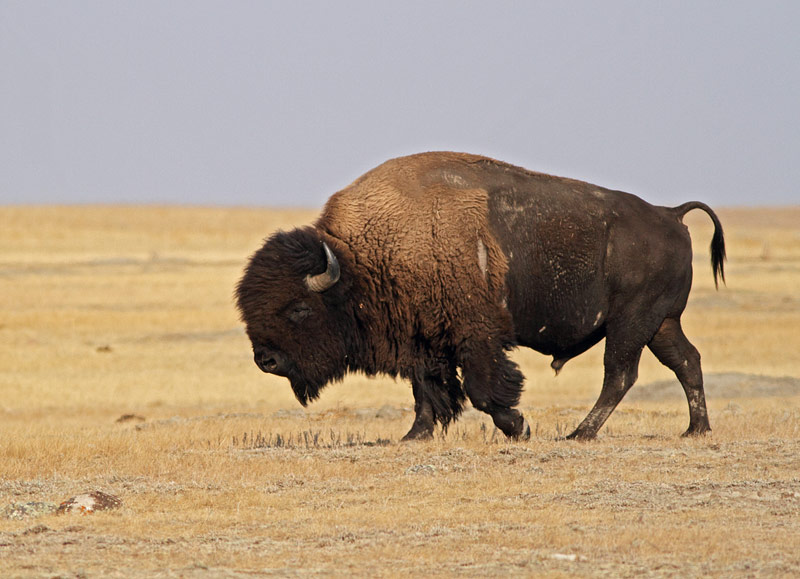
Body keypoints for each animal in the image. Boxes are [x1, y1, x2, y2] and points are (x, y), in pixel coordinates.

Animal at [236, 152, 725, 441]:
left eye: (299, 308)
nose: (266, 360)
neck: (362, 259)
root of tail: (670, 215)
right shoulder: (423, 340)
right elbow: (427, 390)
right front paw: (414, 436)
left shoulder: (475, 336)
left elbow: (481, 389)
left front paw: (518, 427)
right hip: (660, 324)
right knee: (687, 361)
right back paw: (695, 430)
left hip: (630, 324)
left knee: (620, 374)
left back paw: (580, 434)